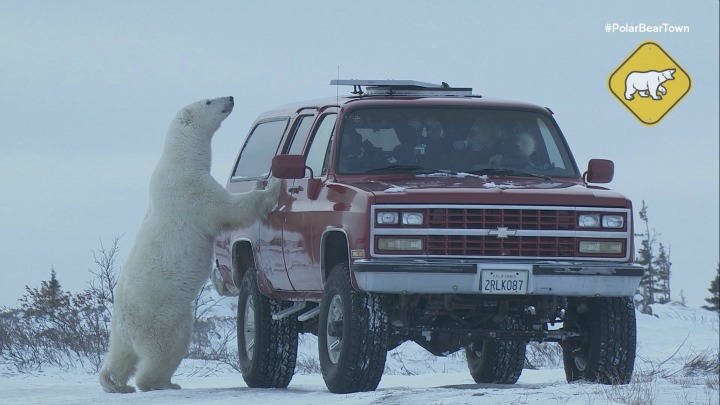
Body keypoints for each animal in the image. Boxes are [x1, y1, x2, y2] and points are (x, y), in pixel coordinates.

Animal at [100, 95, 280, 392]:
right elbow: (227, 209)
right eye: (208, 100)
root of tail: (128, 326)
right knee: (167, 348)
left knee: (119, 356)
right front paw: (272, 186)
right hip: (164, 316)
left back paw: (115, 383)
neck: (179, 160)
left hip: (117, 330)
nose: (230, 97)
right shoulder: (191, 189)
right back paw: (162, 383)